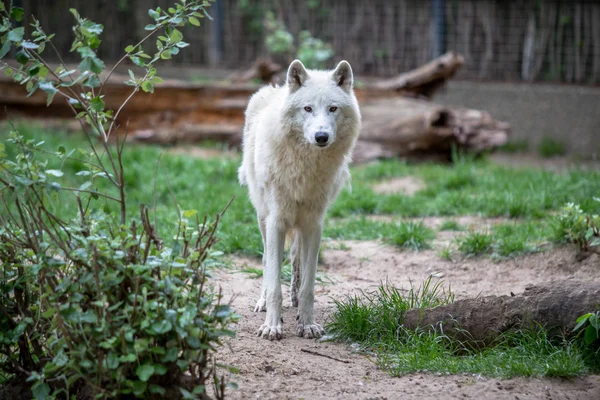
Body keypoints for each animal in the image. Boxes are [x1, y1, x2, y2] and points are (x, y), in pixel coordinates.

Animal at [238, 59, 360, 340]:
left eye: (332, 108)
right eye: (308, 108)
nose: (321, 136)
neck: (306, 168)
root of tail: (273, 89)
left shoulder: (314, 224)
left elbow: (309, 285)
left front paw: (307, 324)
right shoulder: (277, 221)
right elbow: (274, 282)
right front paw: (272, 326)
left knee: (296, 259)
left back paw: (293, 302)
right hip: (262, 217)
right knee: (266, 260)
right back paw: (264, 303)